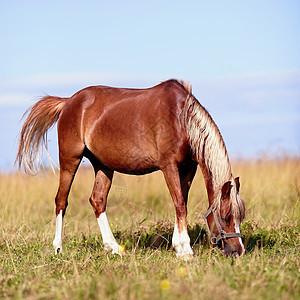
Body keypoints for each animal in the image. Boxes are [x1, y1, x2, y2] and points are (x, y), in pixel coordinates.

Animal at [16, 79, 245, 258]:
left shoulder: (189, 168)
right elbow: (180, 204)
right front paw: (185, 249)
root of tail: (68, 101)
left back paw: (113, 247)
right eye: (226, 216)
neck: (181, 119)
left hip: (104, 166)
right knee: (61, 201)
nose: (239, 251)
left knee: (97, 200)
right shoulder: (168, 166)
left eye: (240, 216)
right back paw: (58, 248)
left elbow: (181, 203)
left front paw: (178, 245)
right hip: (70, 160)